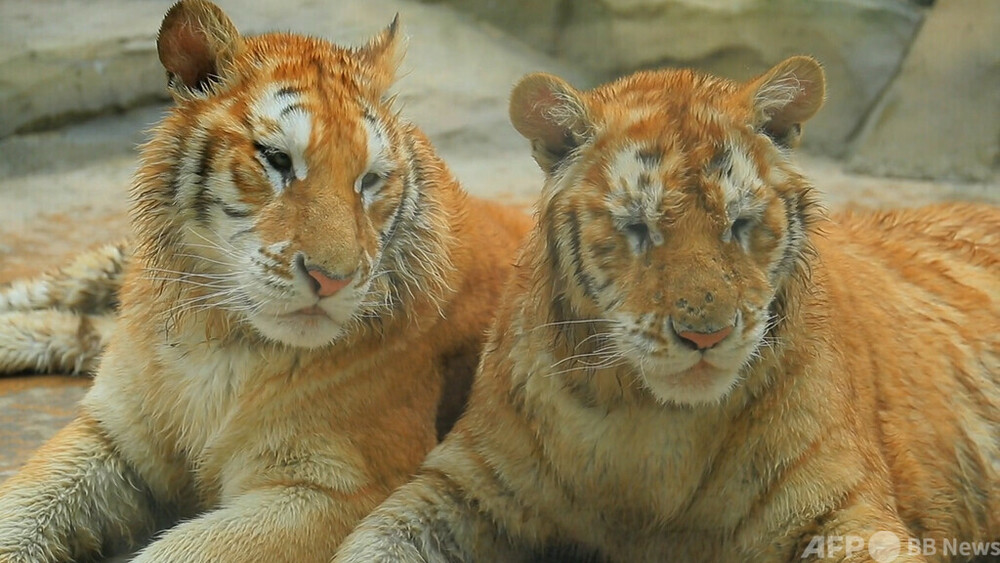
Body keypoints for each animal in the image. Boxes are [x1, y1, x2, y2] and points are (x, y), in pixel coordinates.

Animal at [0, 2, 532, 560]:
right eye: (278, 160)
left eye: (369, 180)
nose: (332, 279)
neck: (215, 334)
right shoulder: (114, 431)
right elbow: (20, 509)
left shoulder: (334, 488)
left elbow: (179, 550)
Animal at [336, 55, 1000, 560]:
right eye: (638, 228)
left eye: (740, 224)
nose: (705, 336)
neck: (650, 426)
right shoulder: (467, 481)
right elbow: (370, 543)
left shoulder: (840, 510)